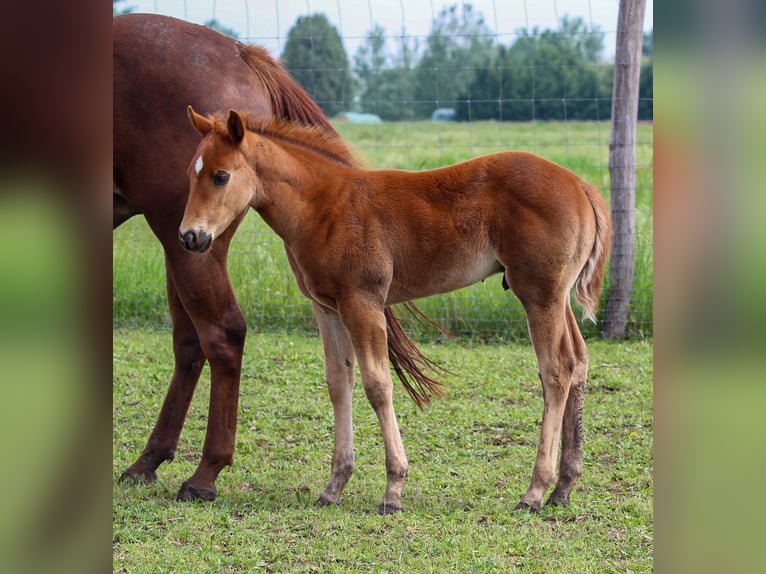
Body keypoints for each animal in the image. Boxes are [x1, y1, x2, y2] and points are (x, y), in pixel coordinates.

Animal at [113, 14, 343, 502]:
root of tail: (239, 51)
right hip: (182, 241)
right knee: (189, 341)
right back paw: (149, 460)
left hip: (190, 242)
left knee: (221, 333)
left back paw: (204, 474)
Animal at [179, 108, 612, 514]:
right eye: (191, 174)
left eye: (221, 176)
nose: (189, 236)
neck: (324, 207)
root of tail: (581, 185)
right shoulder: (327, 308)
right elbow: (339, 383)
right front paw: (334, 486)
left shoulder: (363, 301)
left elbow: (377, 384)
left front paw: (393, 489)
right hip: (556, 296)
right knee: (578, 361)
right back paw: (563, 487)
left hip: (539, 294)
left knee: (555, 370)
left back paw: (535, 491)